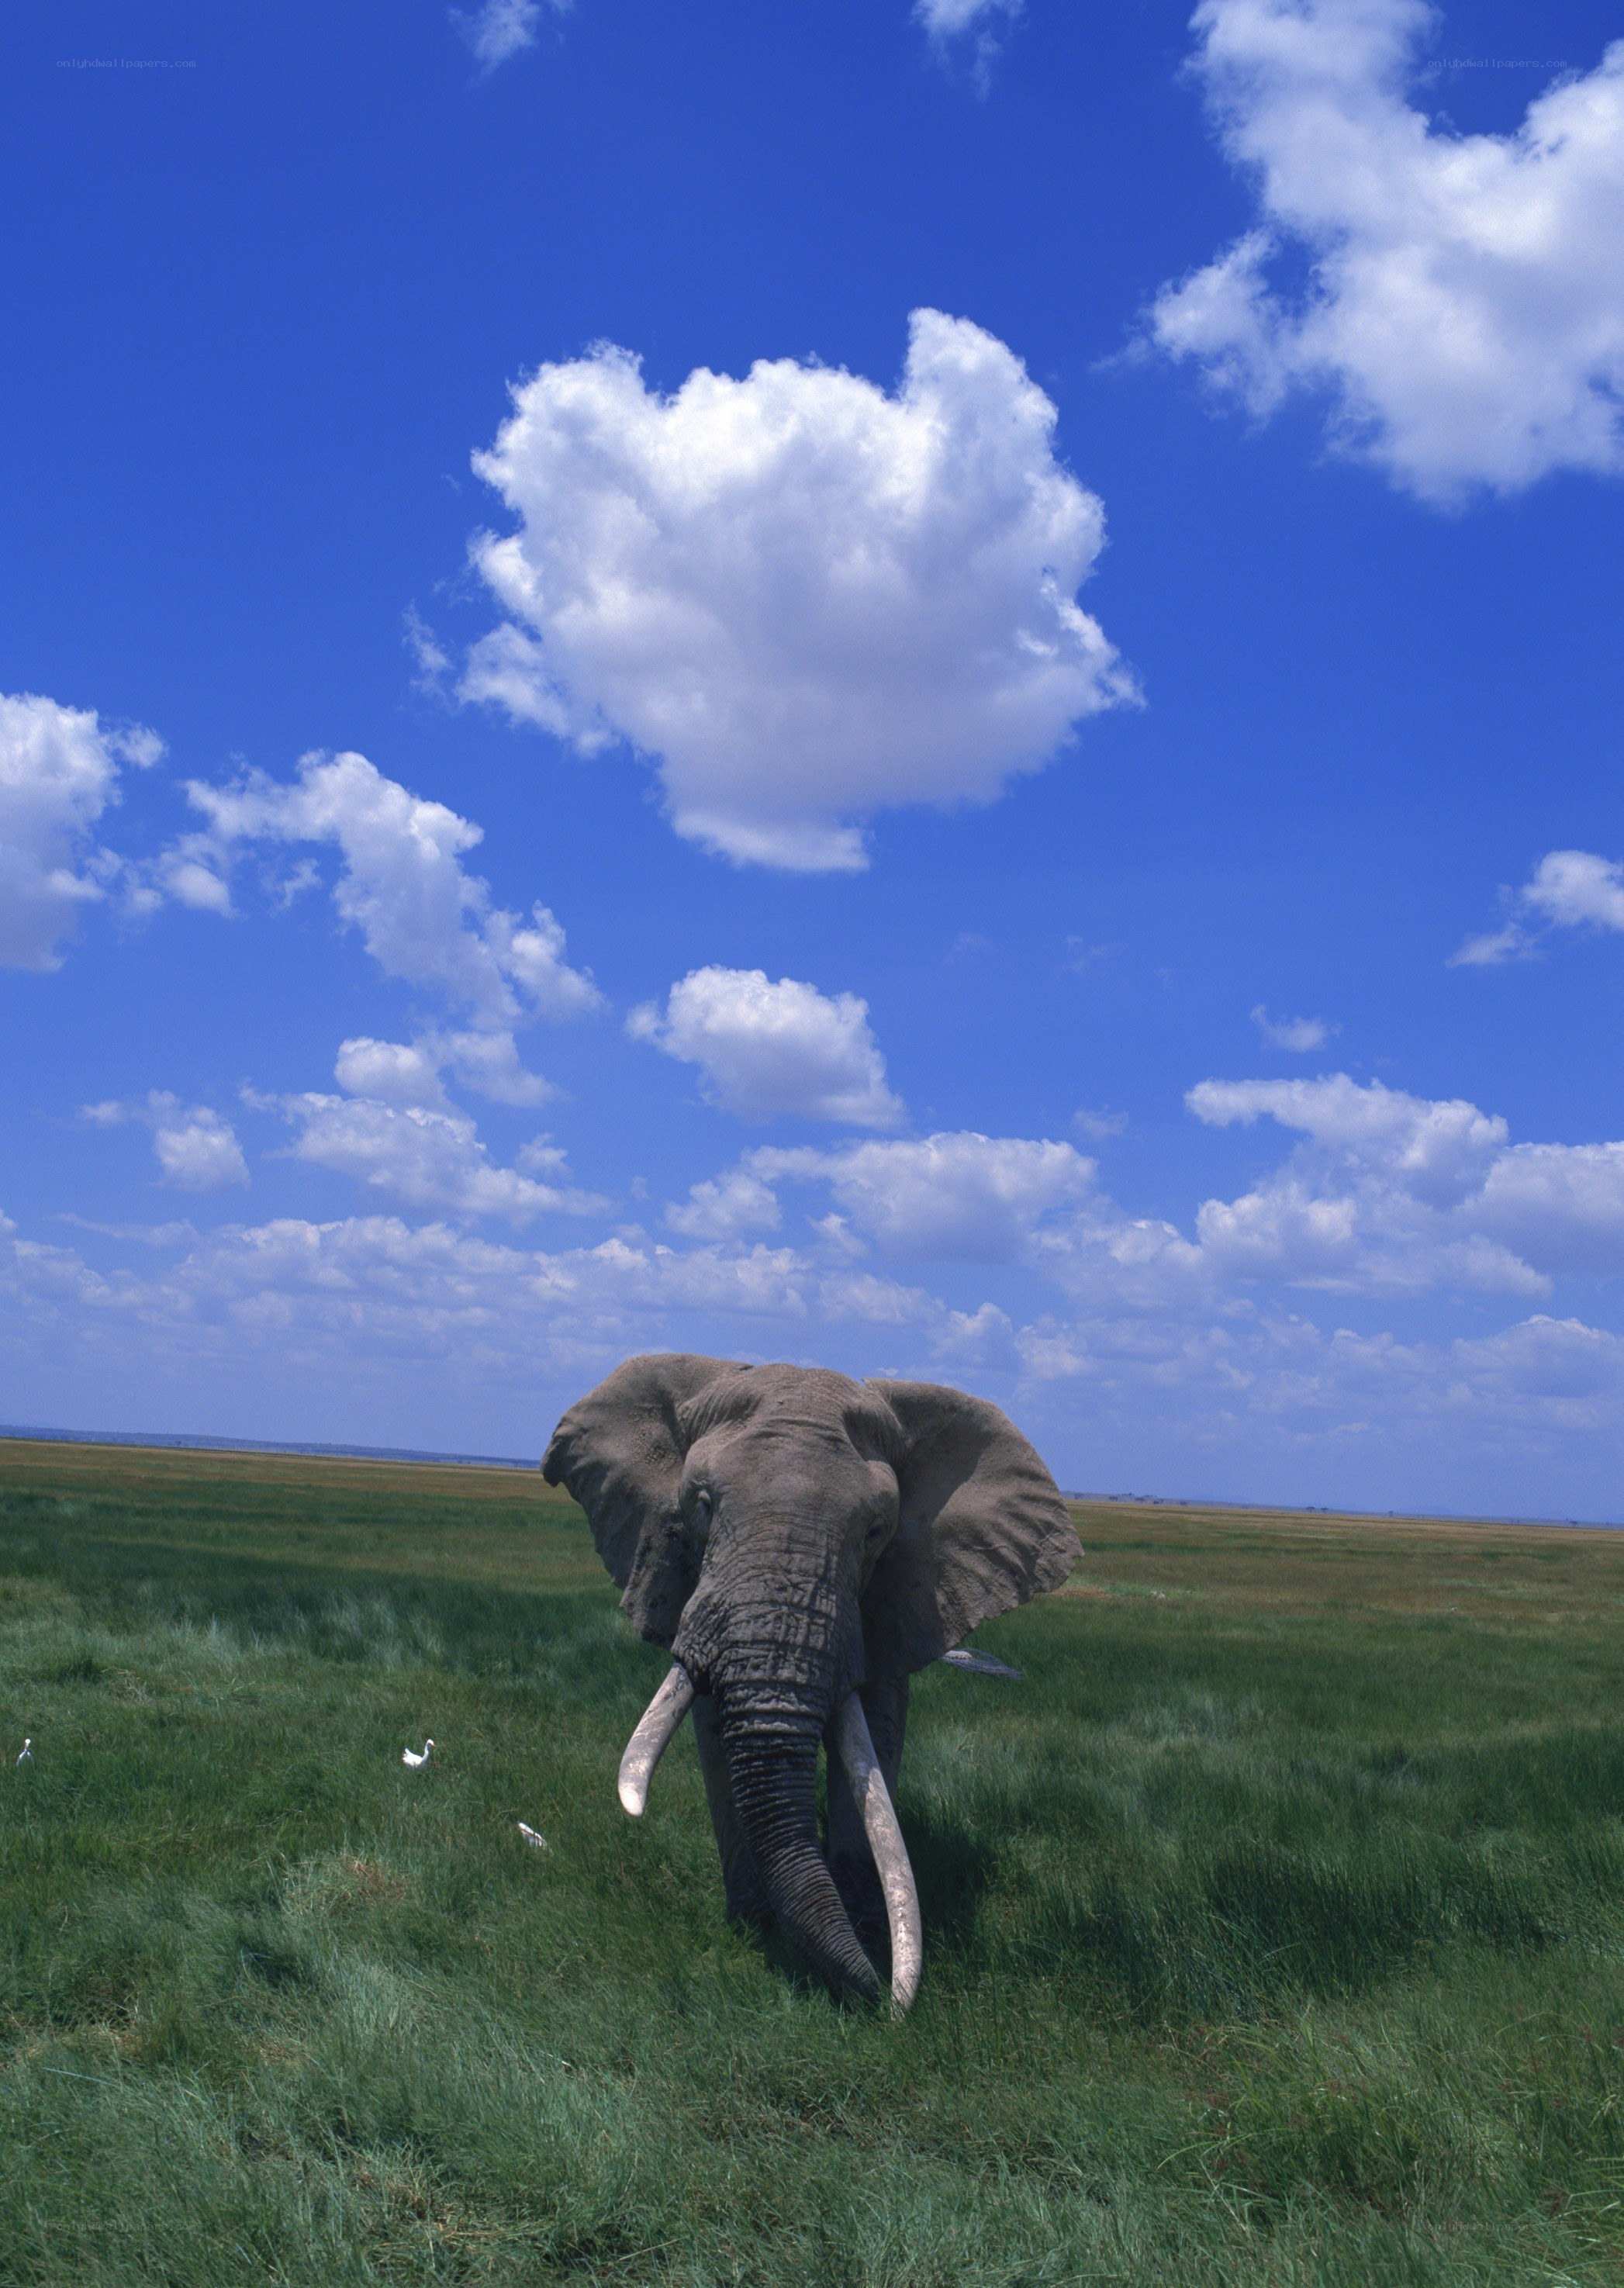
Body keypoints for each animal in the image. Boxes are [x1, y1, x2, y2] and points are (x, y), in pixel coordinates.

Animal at [542, 1353, 1080, 2013]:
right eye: (702, 1504)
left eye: (876, 1530)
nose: (885, 2001)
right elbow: (713, 1732)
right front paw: (754, 1929)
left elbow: (876, 1736)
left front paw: (866, 1930)